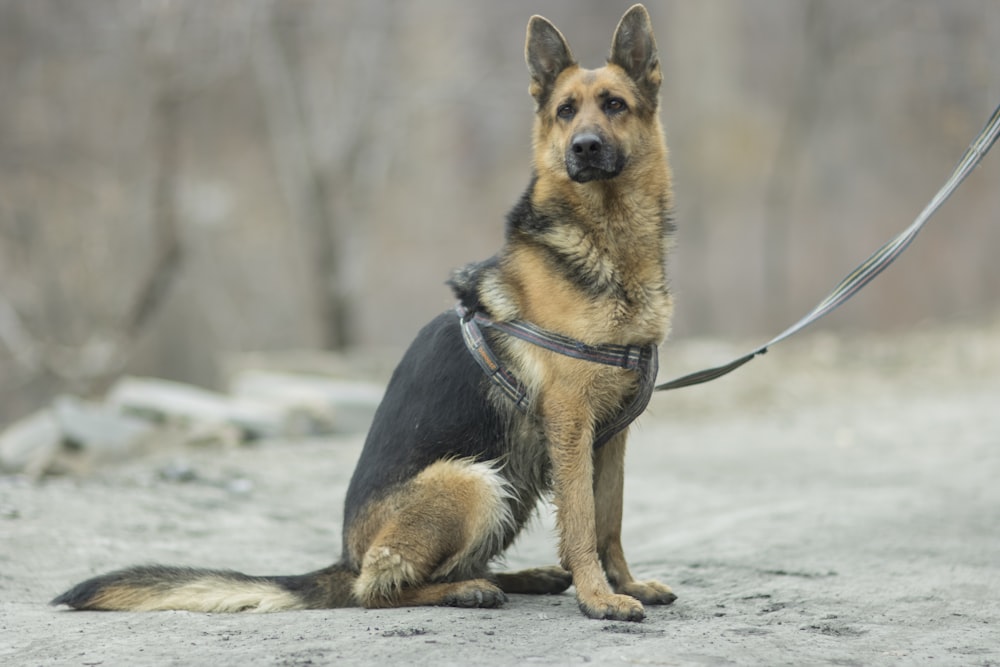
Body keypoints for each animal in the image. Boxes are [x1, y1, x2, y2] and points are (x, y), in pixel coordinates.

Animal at [54, 3, 680, 628]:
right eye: (565, 111)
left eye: (614, 105)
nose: (584, 147)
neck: (607, 241)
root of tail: (344, 556)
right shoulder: (572, 426)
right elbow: (581, 522)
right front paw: (597, 597)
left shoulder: (610, 438)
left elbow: (609, 518)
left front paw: (623, 583)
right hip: (474, 479)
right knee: (376, 587)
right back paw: (466, 589)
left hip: (504, 483)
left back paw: (515, 578)